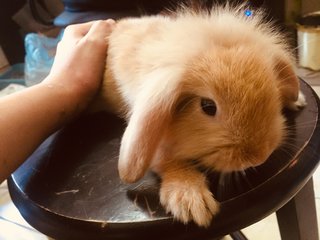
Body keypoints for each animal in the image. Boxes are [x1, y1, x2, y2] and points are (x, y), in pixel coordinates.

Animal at [93, 4, 308, 228]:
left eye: (272, 89)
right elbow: (167, 161)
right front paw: (191, 201)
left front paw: (297, 99)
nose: (259, 157)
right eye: (207, 106)